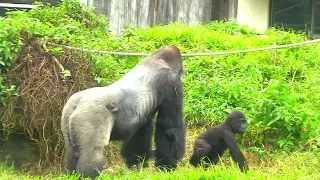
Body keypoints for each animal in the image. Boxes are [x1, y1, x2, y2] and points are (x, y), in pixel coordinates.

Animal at [60, 45, 186, 179]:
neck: (158, 59)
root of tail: (78, 101)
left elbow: (140, 134)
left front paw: (136, 166)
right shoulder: (171, 83)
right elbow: (170, 129)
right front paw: (166, 167)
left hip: (67, 112)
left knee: (72, 150)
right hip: (91, 113)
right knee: (92, 152)